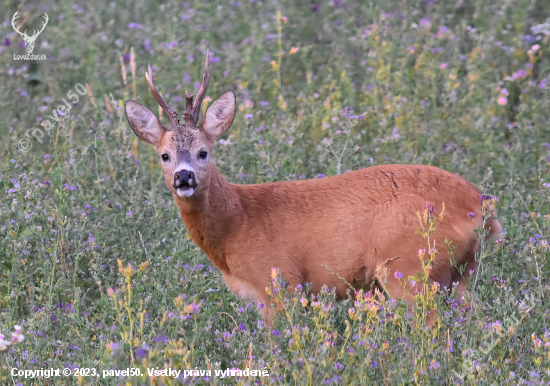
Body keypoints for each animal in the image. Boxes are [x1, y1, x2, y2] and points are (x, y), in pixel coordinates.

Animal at [126, 52, 504, 324]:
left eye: (204, 151)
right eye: (164, 155)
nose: (184, 177)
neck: (238, 221)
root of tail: (482, 208)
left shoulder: (280, 283)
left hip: (410, 269)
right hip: (461, 275)